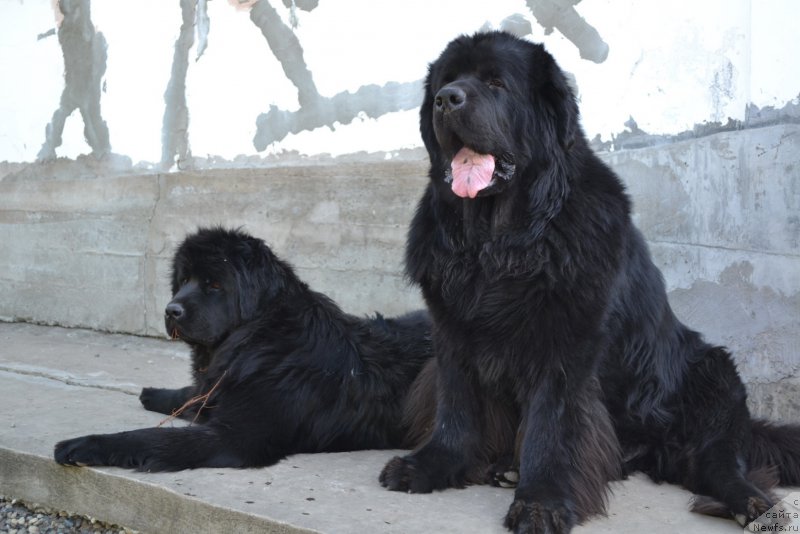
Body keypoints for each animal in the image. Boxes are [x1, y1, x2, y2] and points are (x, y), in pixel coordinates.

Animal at [54, 228, 438, 472]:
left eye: (213, 285)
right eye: (184, 281)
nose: (171, 310)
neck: (258, 340)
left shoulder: (238, 437)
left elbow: (150, 439)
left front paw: (86, 445)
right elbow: (193, 396)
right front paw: (157, 394)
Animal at [376, 31, 800, 532]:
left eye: (496, 83)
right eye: (446, 81)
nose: (446, 99)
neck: (502, 242)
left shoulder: (566, 340)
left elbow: (553, 424)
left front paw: (541, 501)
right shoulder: (453, 330)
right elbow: (456, 407)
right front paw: (432, 465)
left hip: (714, 374)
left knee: (718, 460)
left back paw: (749, 502)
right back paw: (508, 465)